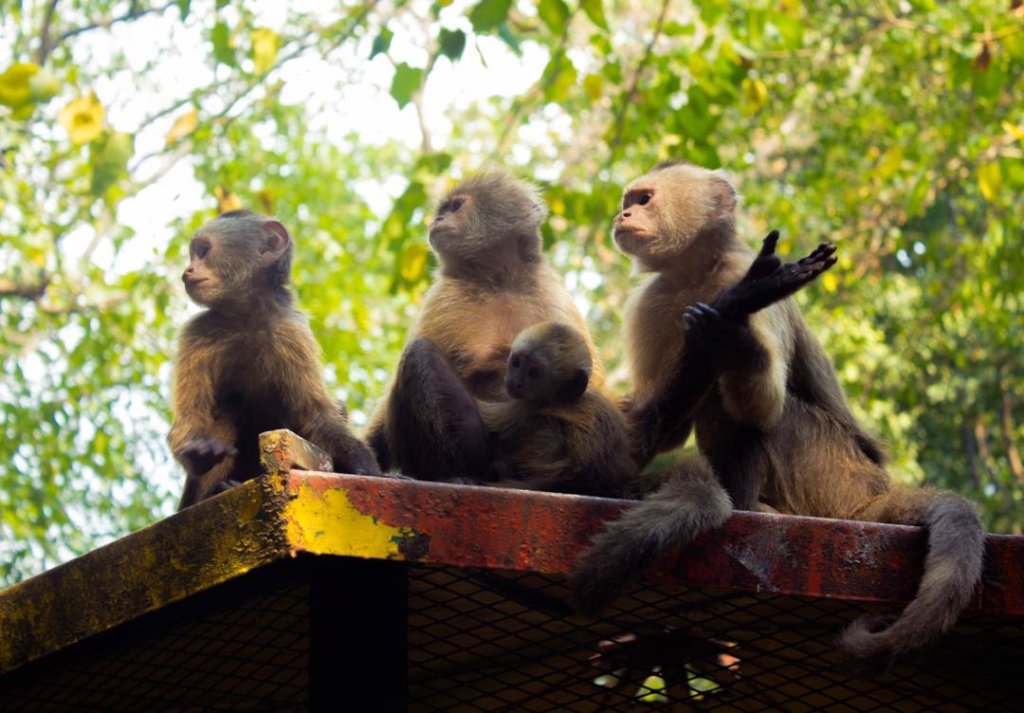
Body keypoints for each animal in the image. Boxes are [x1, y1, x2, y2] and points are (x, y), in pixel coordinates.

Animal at [169, 210, 380, 509]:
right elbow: (191, 415)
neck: (245, 318)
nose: (187, 271)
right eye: (194, 254)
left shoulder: (291, 331)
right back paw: (216, 490)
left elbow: (318, 415)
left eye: (203, 251)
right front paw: (197, 452)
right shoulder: (196, 333)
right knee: (229, 406)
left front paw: (367, 469)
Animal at [365, 172, 600, 482]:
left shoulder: (554, 298)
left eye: (454, 207)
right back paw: (452, 474)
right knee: (420, 353)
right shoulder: (444, 297)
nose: (436, 220)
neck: (498, 282)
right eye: (442, 210)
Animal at [569, 161, 984, 667]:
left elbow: (763, 405)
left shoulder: (733, 272)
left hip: (832, 472)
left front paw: (738, 321)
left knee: (749, 410)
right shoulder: (654, 301)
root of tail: (874, 493)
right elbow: (658, 425)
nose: (623, 214)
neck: (699, 272)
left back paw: (746, 501)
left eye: (644, 199)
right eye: (629, 201)